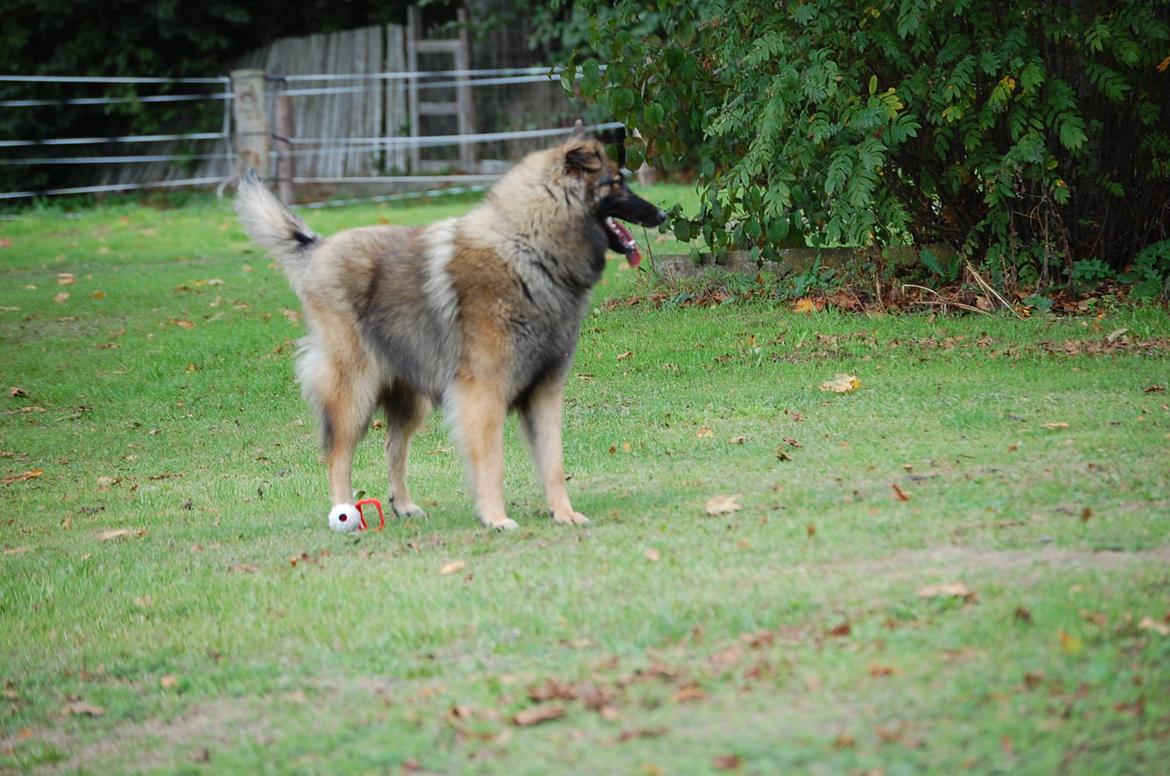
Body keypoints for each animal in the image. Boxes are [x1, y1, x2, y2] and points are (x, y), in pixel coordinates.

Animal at [235, 124, 669, 531]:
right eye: (616, 184)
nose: (662, 216)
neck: (527, 249)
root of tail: (318, 247)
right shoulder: (483, 395)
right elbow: (492, 462)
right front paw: (495, 518)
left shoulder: (544, 391)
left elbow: (552, 461)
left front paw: (563, 514)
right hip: (353, 390)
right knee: (338, 453)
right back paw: (345, 514)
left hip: (410, 397)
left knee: (394, 447)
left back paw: (403, 505)